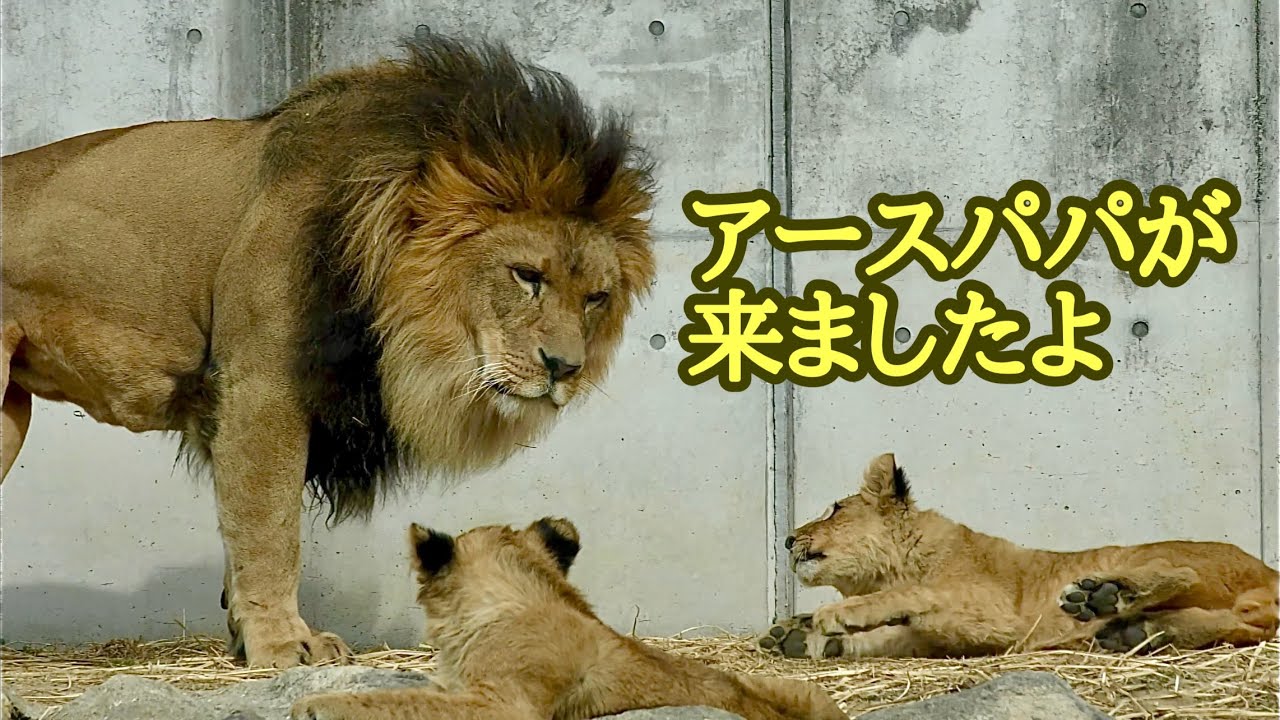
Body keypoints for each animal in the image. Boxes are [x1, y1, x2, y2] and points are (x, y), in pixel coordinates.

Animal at [0, 34, 657, 669]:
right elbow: (269, 530)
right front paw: (283, 646)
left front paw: (246, 641)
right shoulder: (261, 386)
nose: (565, 368)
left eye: (596, 298)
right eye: (527, 276)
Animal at [756, 453, 1279, 660]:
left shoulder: (998, 616)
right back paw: (1133, 630)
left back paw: (1106, 597)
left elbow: (916, 593)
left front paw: (830, 617)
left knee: (1187, 576)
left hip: (1175, 557)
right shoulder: (953, 636)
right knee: (1242, 625)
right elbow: (893, 636)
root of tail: (1268, 571)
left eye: (835, 509)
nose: (788, 540)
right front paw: (799, 636)